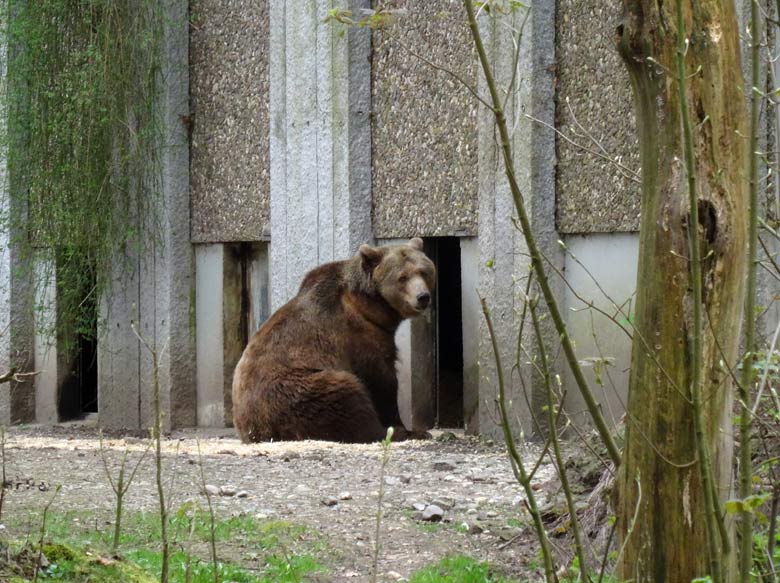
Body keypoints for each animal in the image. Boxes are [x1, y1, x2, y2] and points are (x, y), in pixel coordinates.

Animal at [232, 237, 438, 442]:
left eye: (423, 271)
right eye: (402, 277)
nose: (422, 297)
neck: (371, 308)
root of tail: (252, 429)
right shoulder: (359, 336)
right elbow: (382, 380)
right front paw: (406, 428)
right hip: (297, 390)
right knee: (343, 393)